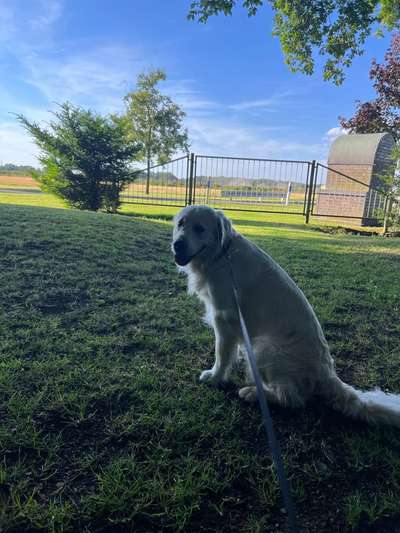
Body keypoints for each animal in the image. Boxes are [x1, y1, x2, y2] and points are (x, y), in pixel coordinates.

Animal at [173, 206, 400, 426]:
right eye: (180, 224)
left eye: (200, 229)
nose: (177, 245)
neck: (222, 254)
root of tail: (327, 374)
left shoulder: (224, 320)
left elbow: (222, 355)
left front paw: (214, 377)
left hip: (263, 348)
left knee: (291, 399)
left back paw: (253, 393)